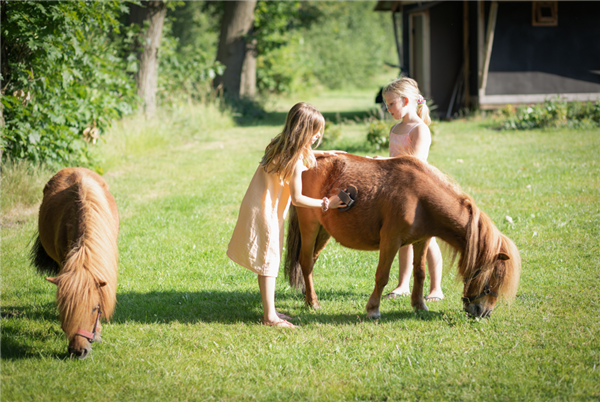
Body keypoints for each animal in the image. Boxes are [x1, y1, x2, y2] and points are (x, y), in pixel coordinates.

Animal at [286, 155, 520, 320]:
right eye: (496, 276)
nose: (484, 312)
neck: (420, 198)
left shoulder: (422, 240)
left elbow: (420, 273)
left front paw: (419, 305)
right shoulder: (391, 241)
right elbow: (382, 276)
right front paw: (373, 309)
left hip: (324, 232)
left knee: (311, 262)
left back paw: (308, 296)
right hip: (310, 227)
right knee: (306, 262)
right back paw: (313, 302)